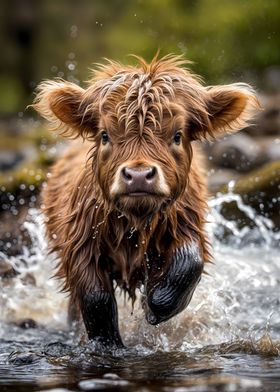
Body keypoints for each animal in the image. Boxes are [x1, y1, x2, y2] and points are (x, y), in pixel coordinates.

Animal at [34, 54, 258, 346]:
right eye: (105, 135)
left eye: (177, 135)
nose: (138, 175)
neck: (135, 223)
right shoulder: (79, 243)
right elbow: (95, 298)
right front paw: (108, 345)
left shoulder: (187, 221)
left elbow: (189, 261)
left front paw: (154, 304)